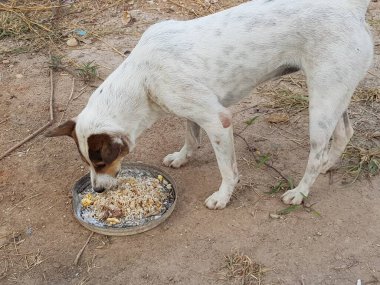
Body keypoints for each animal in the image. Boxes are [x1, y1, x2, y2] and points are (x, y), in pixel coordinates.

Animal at [46, 0, 372, 209]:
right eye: (87, 163)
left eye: (101, 162)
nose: (98, 190)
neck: (143, 78)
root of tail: (350, 8)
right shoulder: (191, 111)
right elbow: (191, 137)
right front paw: (182, 158)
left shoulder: (218, 120)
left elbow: (227, 170)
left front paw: (223, 197)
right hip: (335, 96)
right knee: (344, 132)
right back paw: (329, 164)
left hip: (322, 104)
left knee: (316, 154)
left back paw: (301, 192)